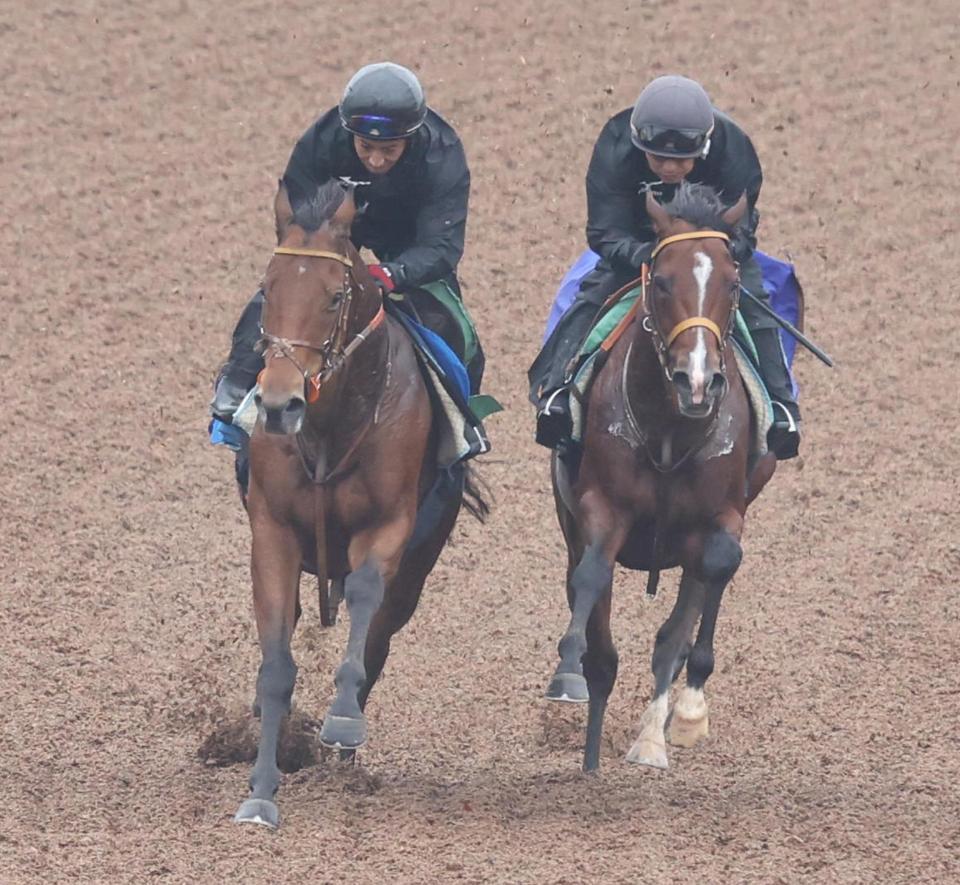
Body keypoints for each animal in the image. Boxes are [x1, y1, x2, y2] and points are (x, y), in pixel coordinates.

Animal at [233, 176, 488, 824]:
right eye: (268, 290)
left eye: (332, 298)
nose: (279, 404)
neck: (329, 428)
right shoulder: (271, 530)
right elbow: (277, 665)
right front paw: (261, 788)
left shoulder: (388, 526)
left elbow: (367, 610)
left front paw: (343, 723)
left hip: (421, 558)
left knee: (379, 635)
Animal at [544, 183, 776, 772]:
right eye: (664, 280)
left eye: (733, 281)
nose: (696, 380)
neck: (672, 425)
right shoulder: (600, 509)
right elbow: (591, 580)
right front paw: (567, 676)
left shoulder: (723, 514)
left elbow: (714, 574)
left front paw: (688, 711)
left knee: (681, 618)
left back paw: (654, 736)